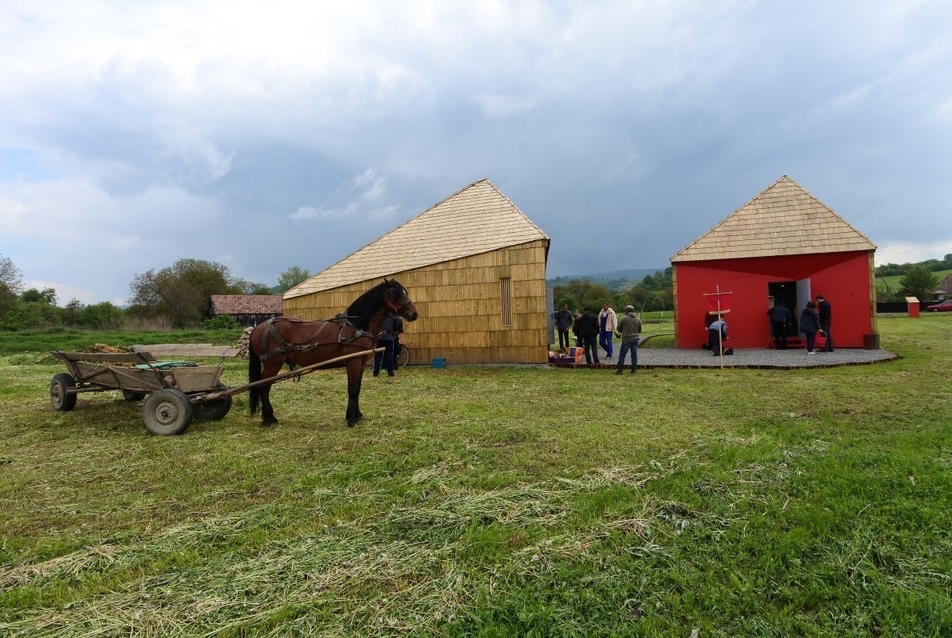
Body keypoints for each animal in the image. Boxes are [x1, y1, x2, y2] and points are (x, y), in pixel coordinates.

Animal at [249, 278, 416, 428]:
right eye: (396, 294)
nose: (414, 314)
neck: (356, 327)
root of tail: (258, 327)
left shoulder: (361, 363)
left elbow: (358, 388)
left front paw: (358, 415)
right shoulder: (353, 362)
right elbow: (352, 389)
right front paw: (351, 419)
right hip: (272, 364)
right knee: (263, 387)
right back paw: (269, 419)